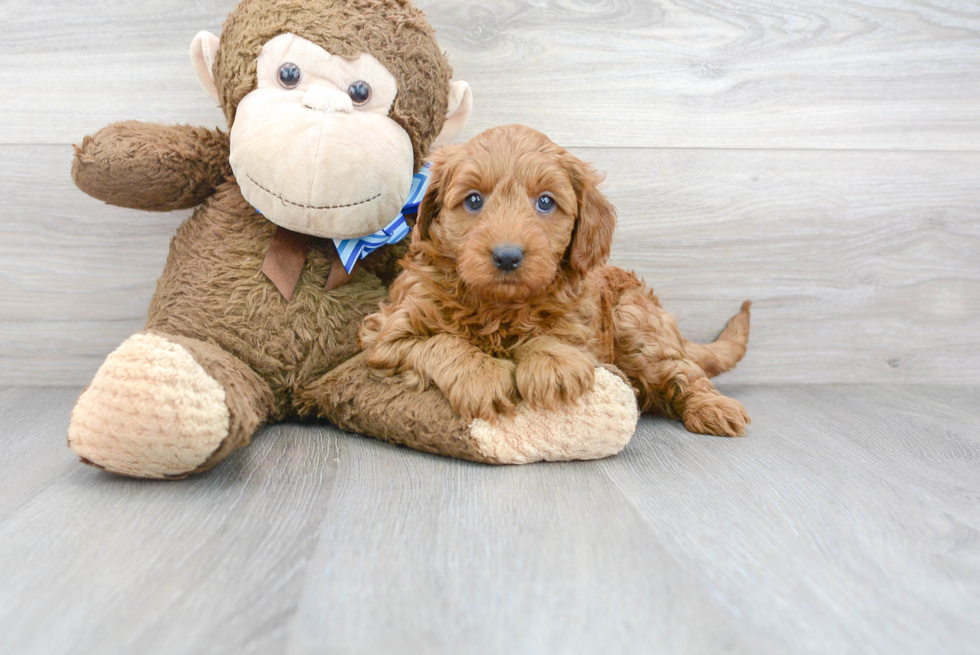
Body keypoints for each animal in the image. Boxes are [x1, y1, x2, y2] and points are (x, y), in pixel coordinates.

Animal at [364, 125, 756, 438]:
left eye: (545, 202)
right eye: (473, 200)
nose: (507, 256)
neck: (496, 307)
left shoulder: (582, 324)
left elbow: (553, 333)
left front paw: (551, 364)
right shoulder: (387, 333)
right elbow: (440, 342)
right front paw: (481, 375)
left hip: (635, 319)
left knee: (682, 371)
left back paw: (713, 408)